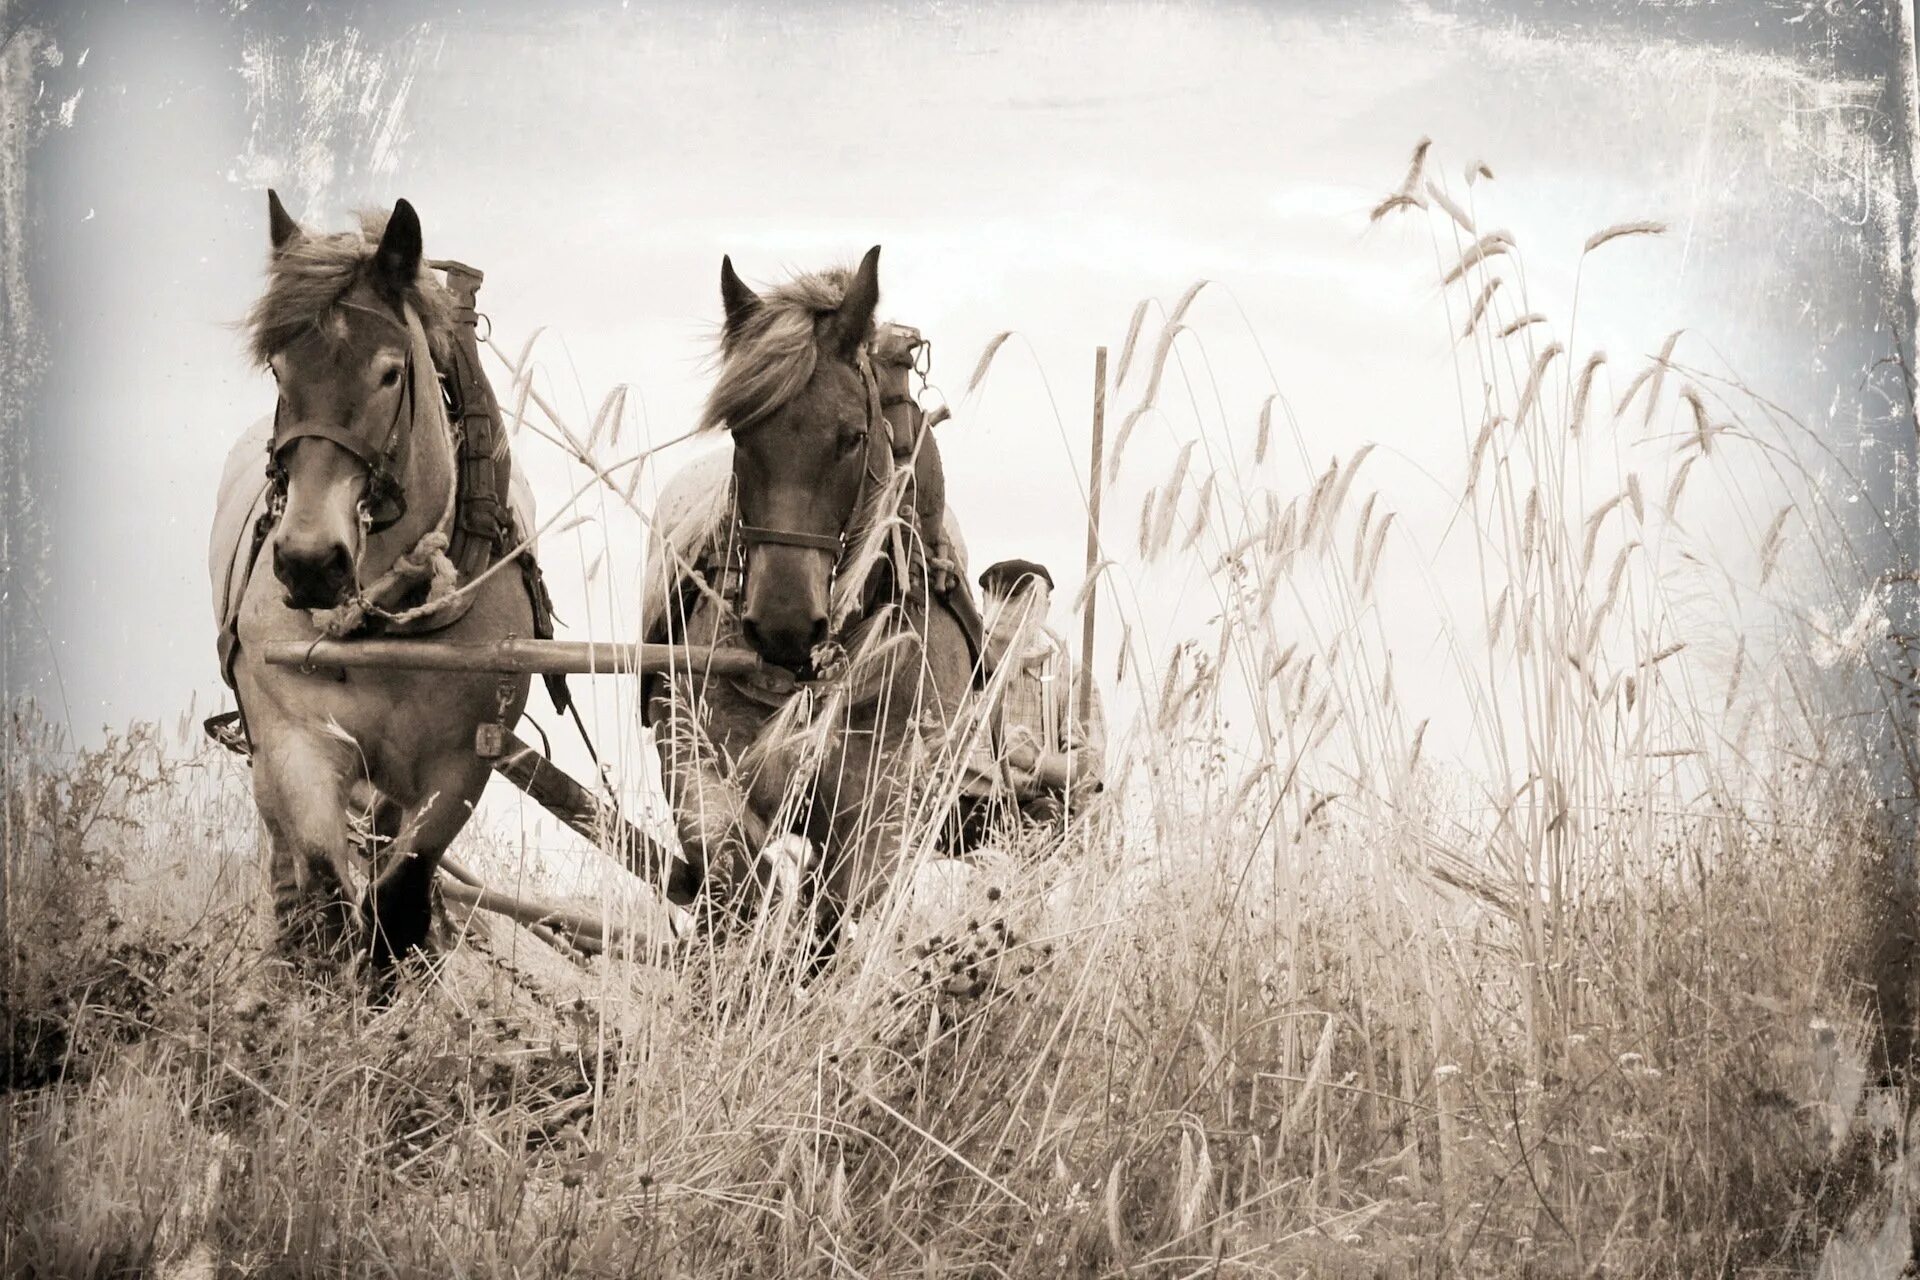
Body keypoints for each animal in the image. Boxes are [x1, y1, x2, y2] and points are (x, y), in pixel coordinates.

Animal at [216, 192, 541, 971]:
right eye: (279, 370)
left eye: (391, 373)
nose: (309, 561)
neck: (384, 622)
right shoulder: (295, 741)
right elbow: (327, 889)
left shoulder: (458, 768)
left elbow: (399, 902)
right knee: (288, 867)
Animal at [641, 249, 975, 951]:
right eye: (740, 432)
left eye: (852, 437)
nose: (784, 626)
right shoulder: (691, 753)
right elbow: (729, 861)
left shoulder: (889, 808)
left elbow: (837, 908)